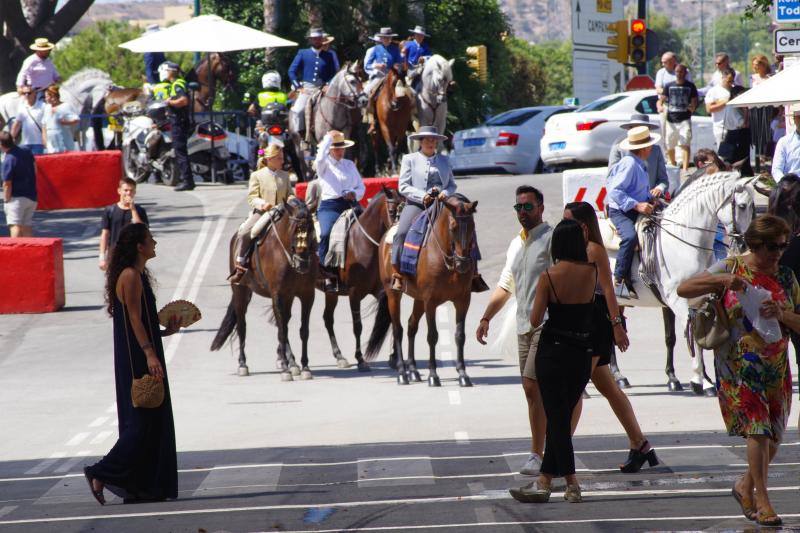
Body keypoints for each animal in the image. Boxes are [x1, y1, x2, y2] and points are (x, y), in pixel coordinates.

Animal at [211, 197, 318, 380]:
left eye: (311, 229)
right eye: (294, 229)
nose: (303, 263)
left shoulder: (307, 295)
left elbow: (303, 330)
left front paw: (304, 367)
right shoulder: (278, 295)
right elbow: (282, 331)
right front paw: (285, 369)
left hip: (287, 297)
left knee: (284, 323)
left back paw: (293, 363)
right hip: (240, 291)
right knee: (242, 325)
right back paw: (243, 364)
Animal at [318, 187, 404, 370]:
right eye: (392, 211)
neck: (362, 242)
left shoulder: (382, 292)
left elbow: (392, 320)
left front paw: (394, 357)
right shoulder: (354, 294)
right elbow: (358, 326)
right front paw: (360, 359)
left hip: (331, 293)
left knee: (327, 319)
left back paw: (339, 356)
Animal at [366, 193, 478, 384]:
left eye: (472, 226)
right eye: (453, 227)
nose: (463, 264)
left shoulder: (463, 300)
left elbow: (460, 335)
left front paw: (463, 374)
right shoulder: (431, 302)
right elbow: (432, 336)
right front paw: (433, 375)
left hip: (418, 299)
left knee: (411, 325)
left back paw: (413, 370)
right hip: (393, 294)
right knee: (398, 330)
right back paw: (402, 373)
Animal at [604, 171, 760, 394]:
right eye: (742, 206)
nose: (744, 244)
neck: (683, 242)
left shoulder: (699, 299)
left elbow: (694, 336)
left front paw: (702, 381)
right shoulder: (677, 302)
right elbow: (689, 335)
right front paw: (699, 380)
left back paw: (619, 377)